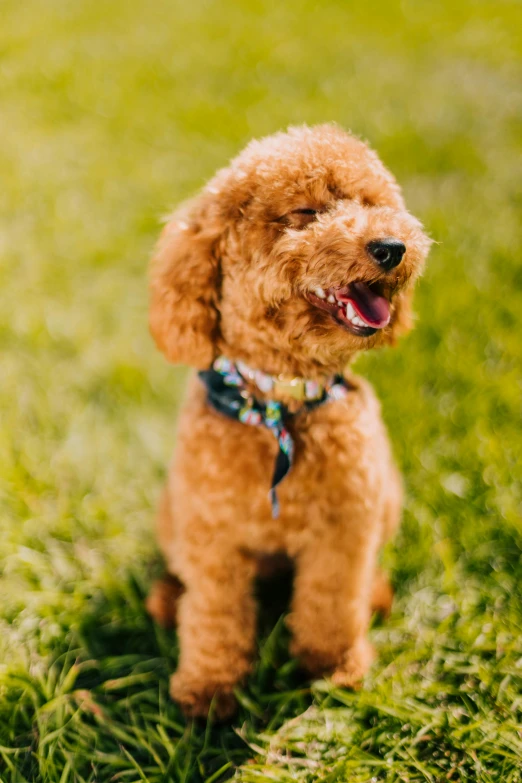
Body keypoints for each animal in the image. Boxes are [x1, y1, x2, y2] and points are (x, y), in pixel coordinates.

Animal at [147, 125, 430, 720]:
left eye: (373, 204)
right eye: (305, 212)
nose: (391, 248)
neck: (282, 402)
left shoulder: (343, 531)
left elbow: (331, 604)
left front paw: (334, 669)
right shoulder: (213, 537)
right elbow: (213, 616)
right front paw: (208, 691)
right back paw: (166, 598)